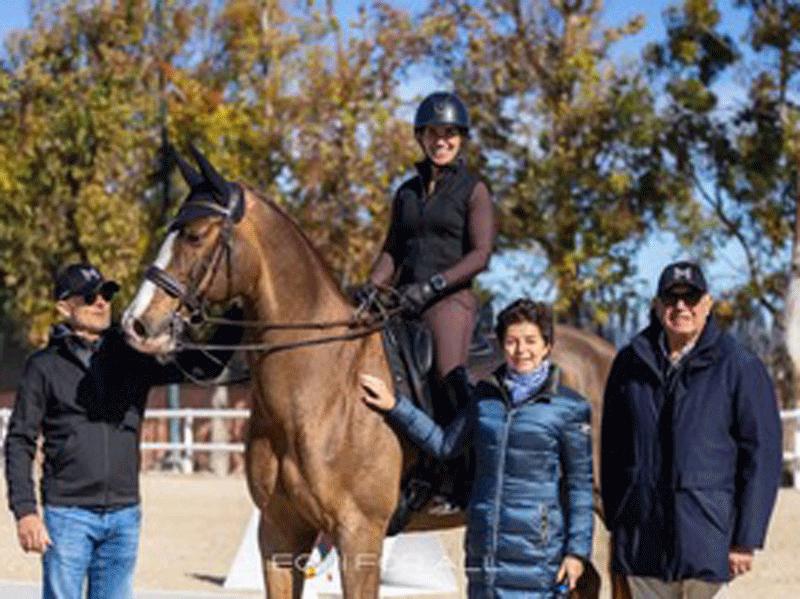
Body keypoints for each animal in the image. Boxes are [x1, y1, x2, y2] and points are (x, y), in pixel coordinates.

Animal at [121, 146, 628, 599]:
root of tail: (606, 352)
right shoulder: (279, 533)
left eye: (195, 235)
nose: (137, 324)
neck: (321, 388)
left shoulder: (357, 535)